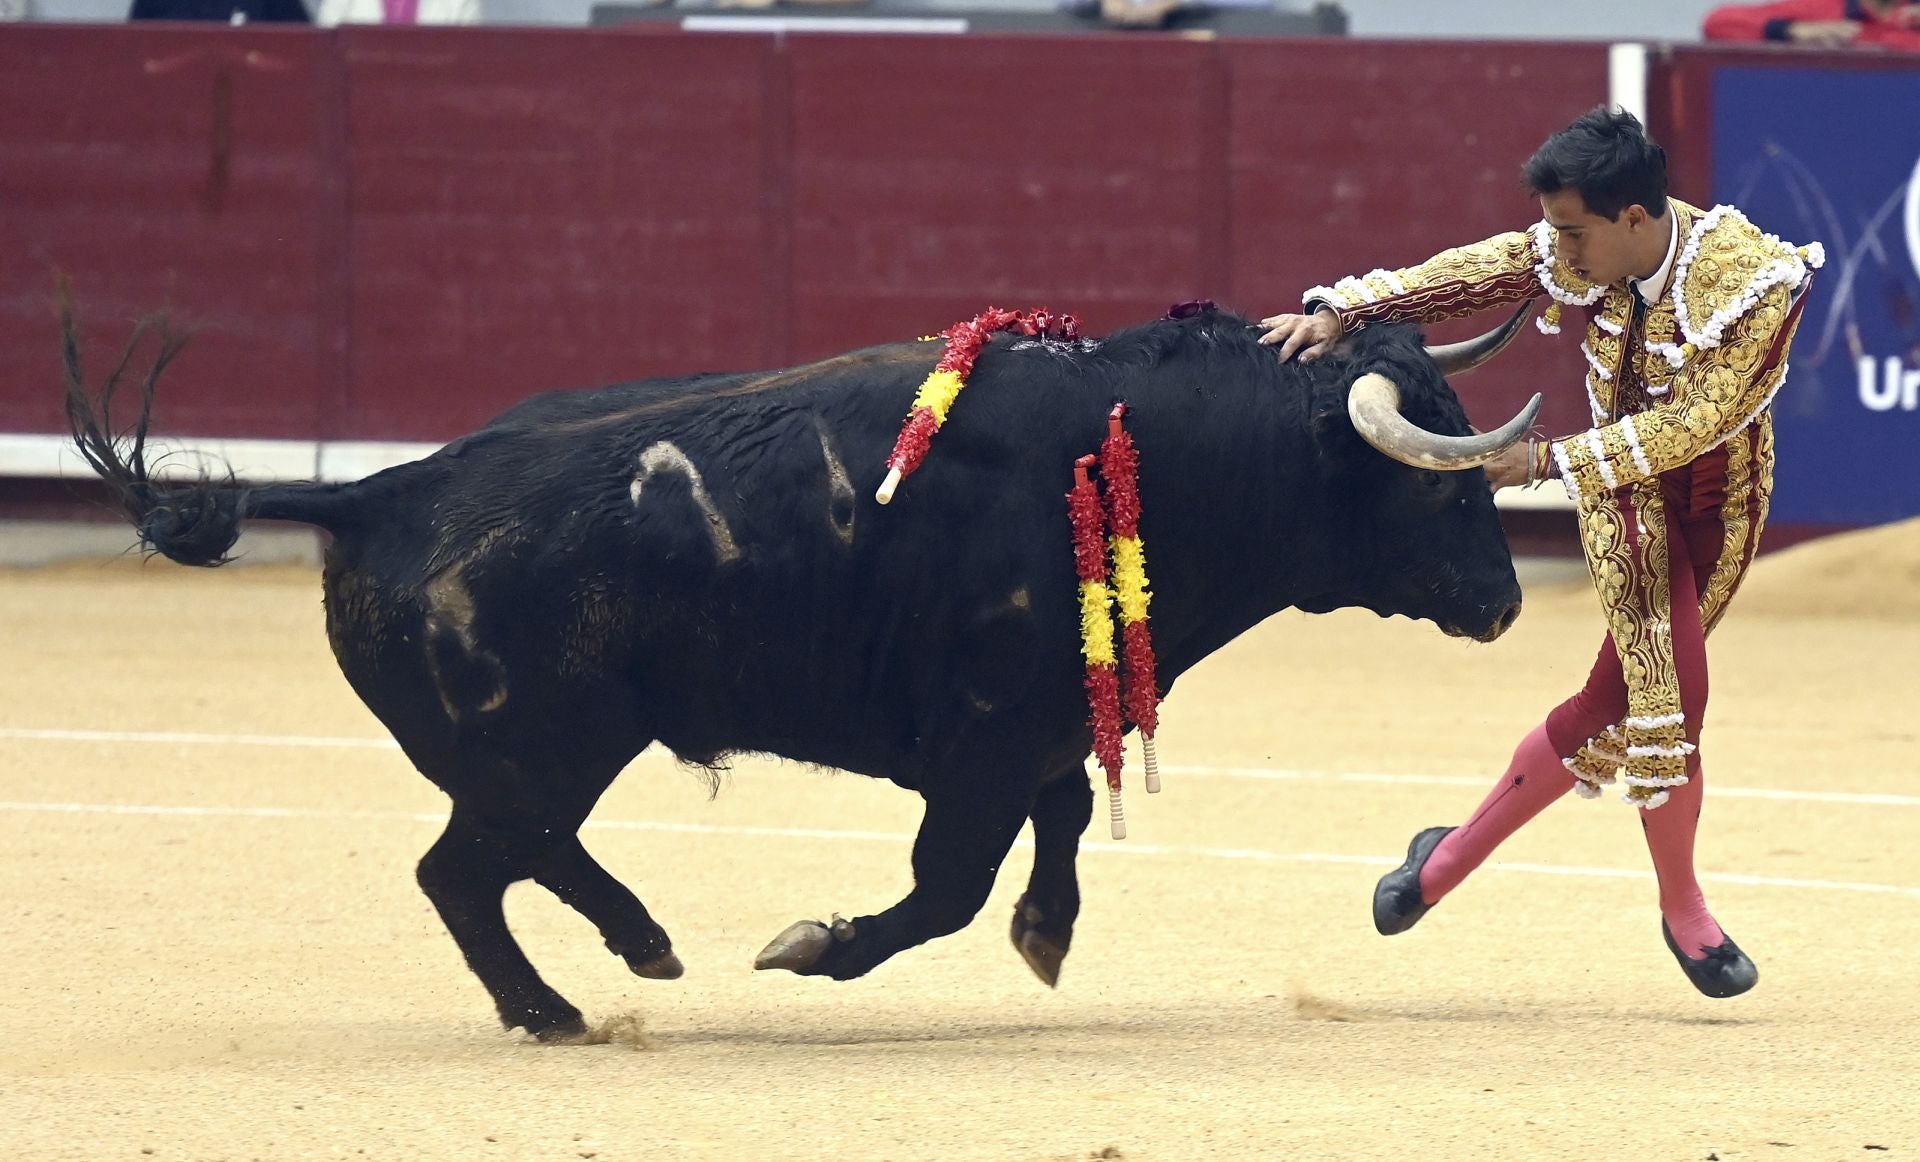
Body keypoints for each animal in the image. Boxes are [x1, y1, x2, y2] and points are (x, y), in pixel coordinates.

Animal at [67, 303, 1543, 1037]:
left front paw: (1047, 933)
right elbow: (946, 886)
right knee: (479, 863)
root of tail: (381, 491)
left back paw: (600, 971)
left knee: (485, 864)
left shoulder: (1033, 729)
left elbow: (1058, 822)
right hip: (549, 743)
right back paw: (596, 976)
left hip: (541, 750)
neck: (1148, 450)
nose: (1505, 601)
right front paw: (815, 945)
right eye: (1436, 481)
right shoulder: (983, 741)